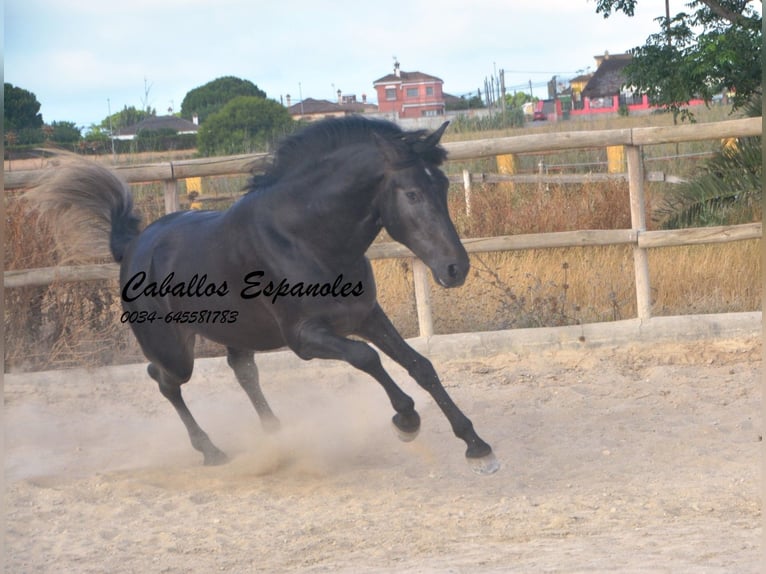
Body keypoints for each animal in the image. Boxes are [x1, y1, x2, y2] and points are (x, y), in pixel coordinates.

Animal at [28, 115, 498, 474]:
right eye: (413, 194)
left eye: (444, 187)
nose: (456, 268)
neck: (307, 236)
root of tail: (130, 246)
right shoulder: (305, 337)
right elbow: (367, 358)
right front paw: (406, 420)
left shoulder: (365, 315)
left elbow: (420, 365)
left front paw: (477, 447)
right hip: (176, 351)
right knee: (163, 381)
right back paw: (212, 451)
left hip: (237, 332)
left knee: (242, 371)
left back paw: (276, 437)